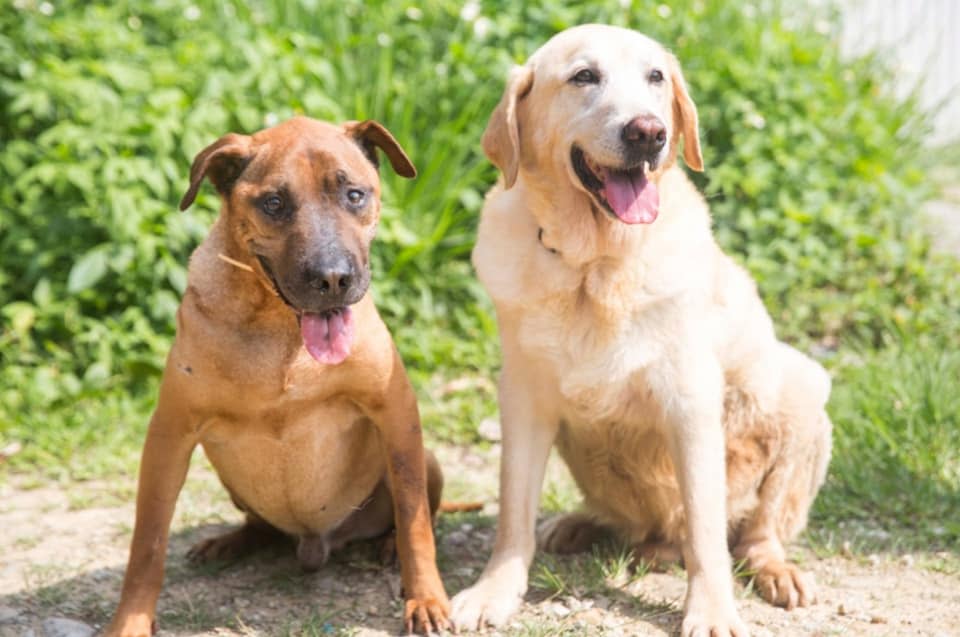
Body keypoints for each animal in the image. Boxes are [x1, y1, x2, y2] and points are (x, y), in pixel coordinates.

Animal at [106, 117, 454, 632]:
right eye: (274, 203)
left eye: (354, 194)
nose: (333, 279)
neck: (278, 326)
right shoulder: (170, 434)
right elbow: (148, 543)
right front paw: (129, 621)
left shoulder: (396, 415)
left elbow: (415, 524)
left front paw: (426, 598)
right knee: (259, 526)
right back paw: (231, 541)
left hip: (424, 459)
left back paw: (386, 545)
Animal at [450, 24, 832, 636]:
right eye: (584, 76)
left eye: (655, 77)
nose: (648, 132)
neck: (594, 264)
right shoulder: (523, 397)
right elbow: (512, 514)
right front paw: (493, 591)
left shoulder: (691, 402)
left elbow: (707, 532)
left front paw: (712, 610)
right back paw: (580, 523)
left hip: (798, 389)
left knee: (754, 532)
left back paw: (775, 571)